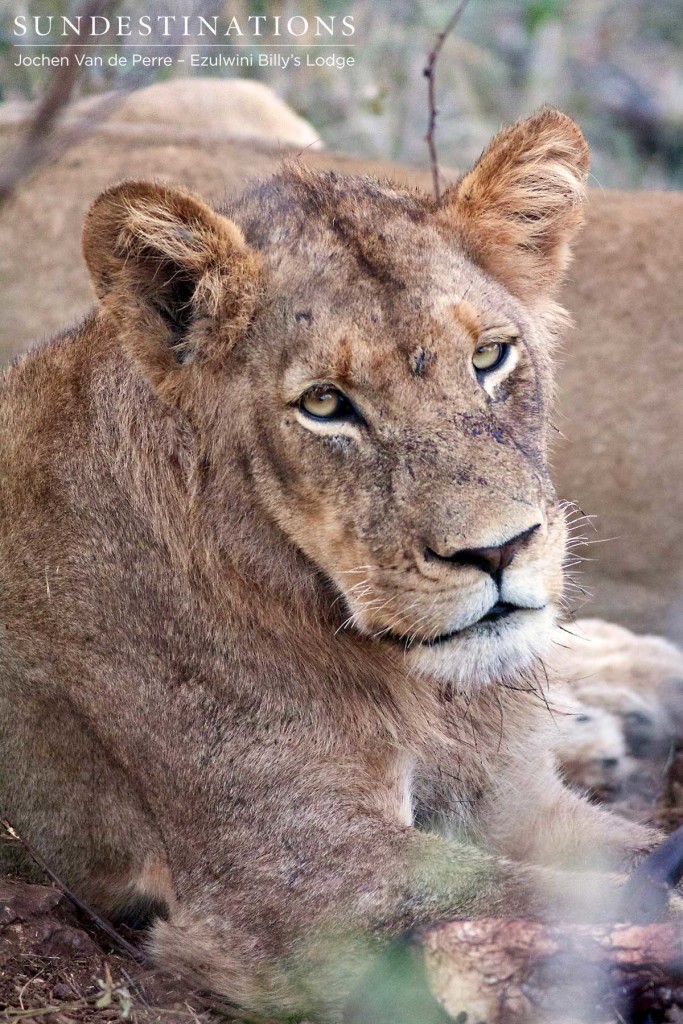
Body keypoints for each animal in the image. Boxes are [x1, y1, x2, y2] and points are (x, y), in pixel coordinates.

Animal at [0, 110, 671, 1007]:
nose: (497, 549)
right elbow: (560, 900)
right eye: (324, 404)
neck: (423, 693)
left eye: (489, 357)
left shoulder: (517, 801)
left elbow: (634, 862)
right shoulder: (298, 872)